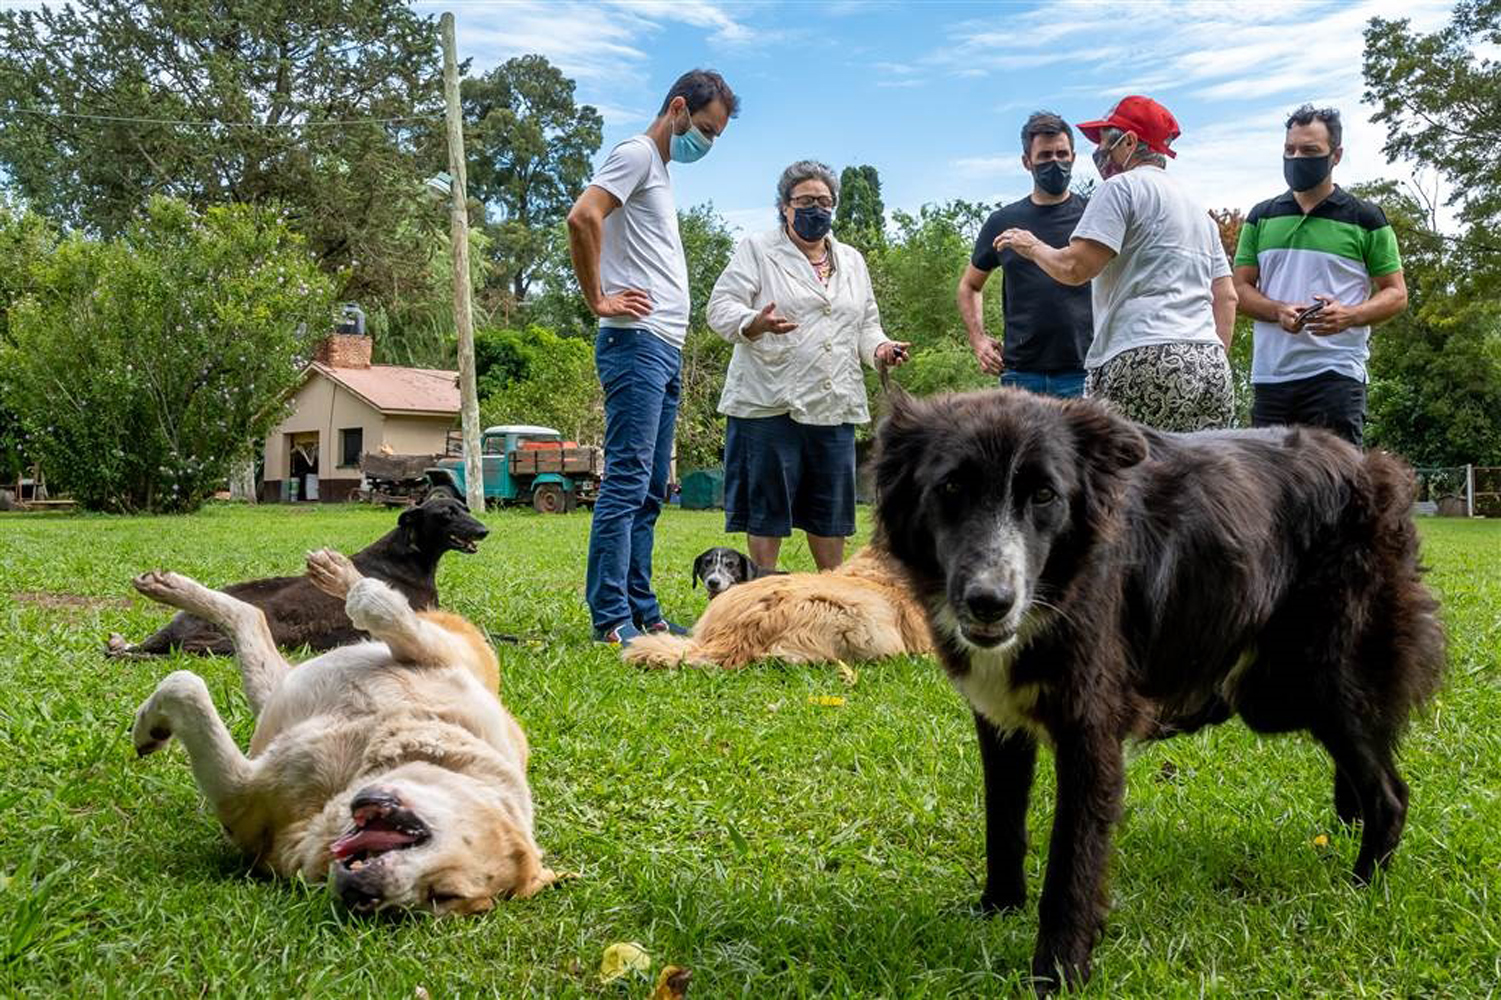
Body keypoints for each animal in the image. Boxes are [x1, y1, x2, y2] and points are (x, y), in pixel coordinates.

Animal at [132, 546, 555, 912]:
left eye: (437, 899)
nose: (365, 896)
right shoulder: (447, 661)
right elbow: (386, 612)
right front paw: (361, 591)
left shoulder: (240, 798)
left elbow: (185, 686)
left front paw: (150, 727)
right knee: (266, 611)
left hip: (272, 697)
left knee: (248, 619)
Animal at [876, 382, 1446, 990]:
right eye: (951, 487)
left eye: (1045, 495)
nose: (990, 601)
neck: (1060, 584)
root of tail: (1370, 464)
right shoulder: (1000, 719)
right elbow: (1002, 819)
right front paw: (998, 909)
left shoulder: (1091, 728)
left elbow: (1072, 860)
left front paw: (1058, 973)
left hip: (1319, 677)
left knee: (1390, 792)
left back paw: (1357, 888)